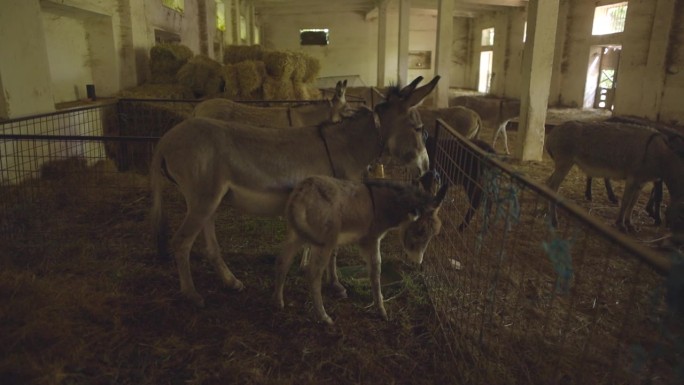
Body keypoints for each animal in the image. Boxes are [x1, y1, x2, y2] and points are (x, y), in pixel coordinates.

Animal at [272, 175, 448, 324]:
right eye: (420, 231)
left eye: (434, 233)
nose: (418, 261)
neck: (382, 204)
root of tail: (302, 192)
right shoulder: (371, 240)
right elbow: (376, 271)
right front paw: (381, 309)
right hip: (323, 242)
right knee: (313, 274)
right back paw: (323, 316)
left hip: (296, 235)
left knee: (282, 262)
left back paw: (279, 302)